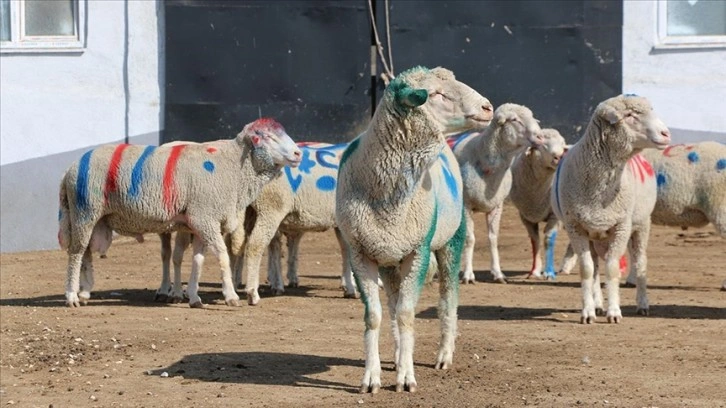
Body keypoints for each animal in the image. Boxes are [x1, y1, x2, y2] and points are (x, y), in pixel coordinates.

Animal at [57, 117, 304, 306]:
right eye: (269, 137)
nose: (298, 154)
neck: (233, 166)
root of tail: (70, 168)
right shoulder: (205, 218)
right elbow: (223, 256)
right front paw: (231, 296)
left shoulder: (200, 222)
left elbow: (198, 260)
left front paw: (194, 296)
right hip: (84, 212)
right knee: (76, 252)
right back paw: (71, 296)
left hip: (95, 218)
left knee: (86, 252)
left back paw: (85, 292)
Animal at [336, 65, 494, 394]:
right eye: (435, 93)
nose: (488, 108)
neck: (387, 197)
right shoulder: (361, 254)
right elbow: (375, 316)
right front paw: (371, 377)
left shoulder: (417, 252)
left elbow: (408, 315)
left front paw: (407, 378)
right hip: (389, 257)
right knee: (393, 306)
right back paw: (398, 356)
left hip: (450, 241)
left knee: (448, 300)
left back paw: (443, 355)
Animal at [452, 103, 548, 284]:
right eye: (514, 120)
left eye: (532, 117)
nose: (540, 137)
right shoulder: (466, 205)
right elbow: (470, 238)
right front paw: (468, 274)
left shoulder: (496, 205)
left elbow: (493, 238)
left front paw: (497, 273)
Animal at [510, 129, 576, 278]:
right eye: (542, 145)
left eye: (562, 144)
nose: (559, 157)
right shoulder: (525, 216)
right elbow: (535, 241)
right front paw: (534, 271)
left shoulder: (554, 216)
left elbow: (548, 240)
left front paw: (548, 272)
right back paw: (566, 266)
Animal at [556, 94, 672, 324]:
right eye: (629, 115)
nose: (666, 134)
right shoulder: (576, 227)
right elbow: (587, 270)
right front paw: (588, 312)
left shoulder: (621, 226)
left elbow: (612, 269)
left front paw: (614, 312)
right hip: (594, 235)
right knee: (595, 268)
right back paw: (598, 304)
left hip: (641, 226)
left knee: (640, 262)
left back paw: (642, 304)